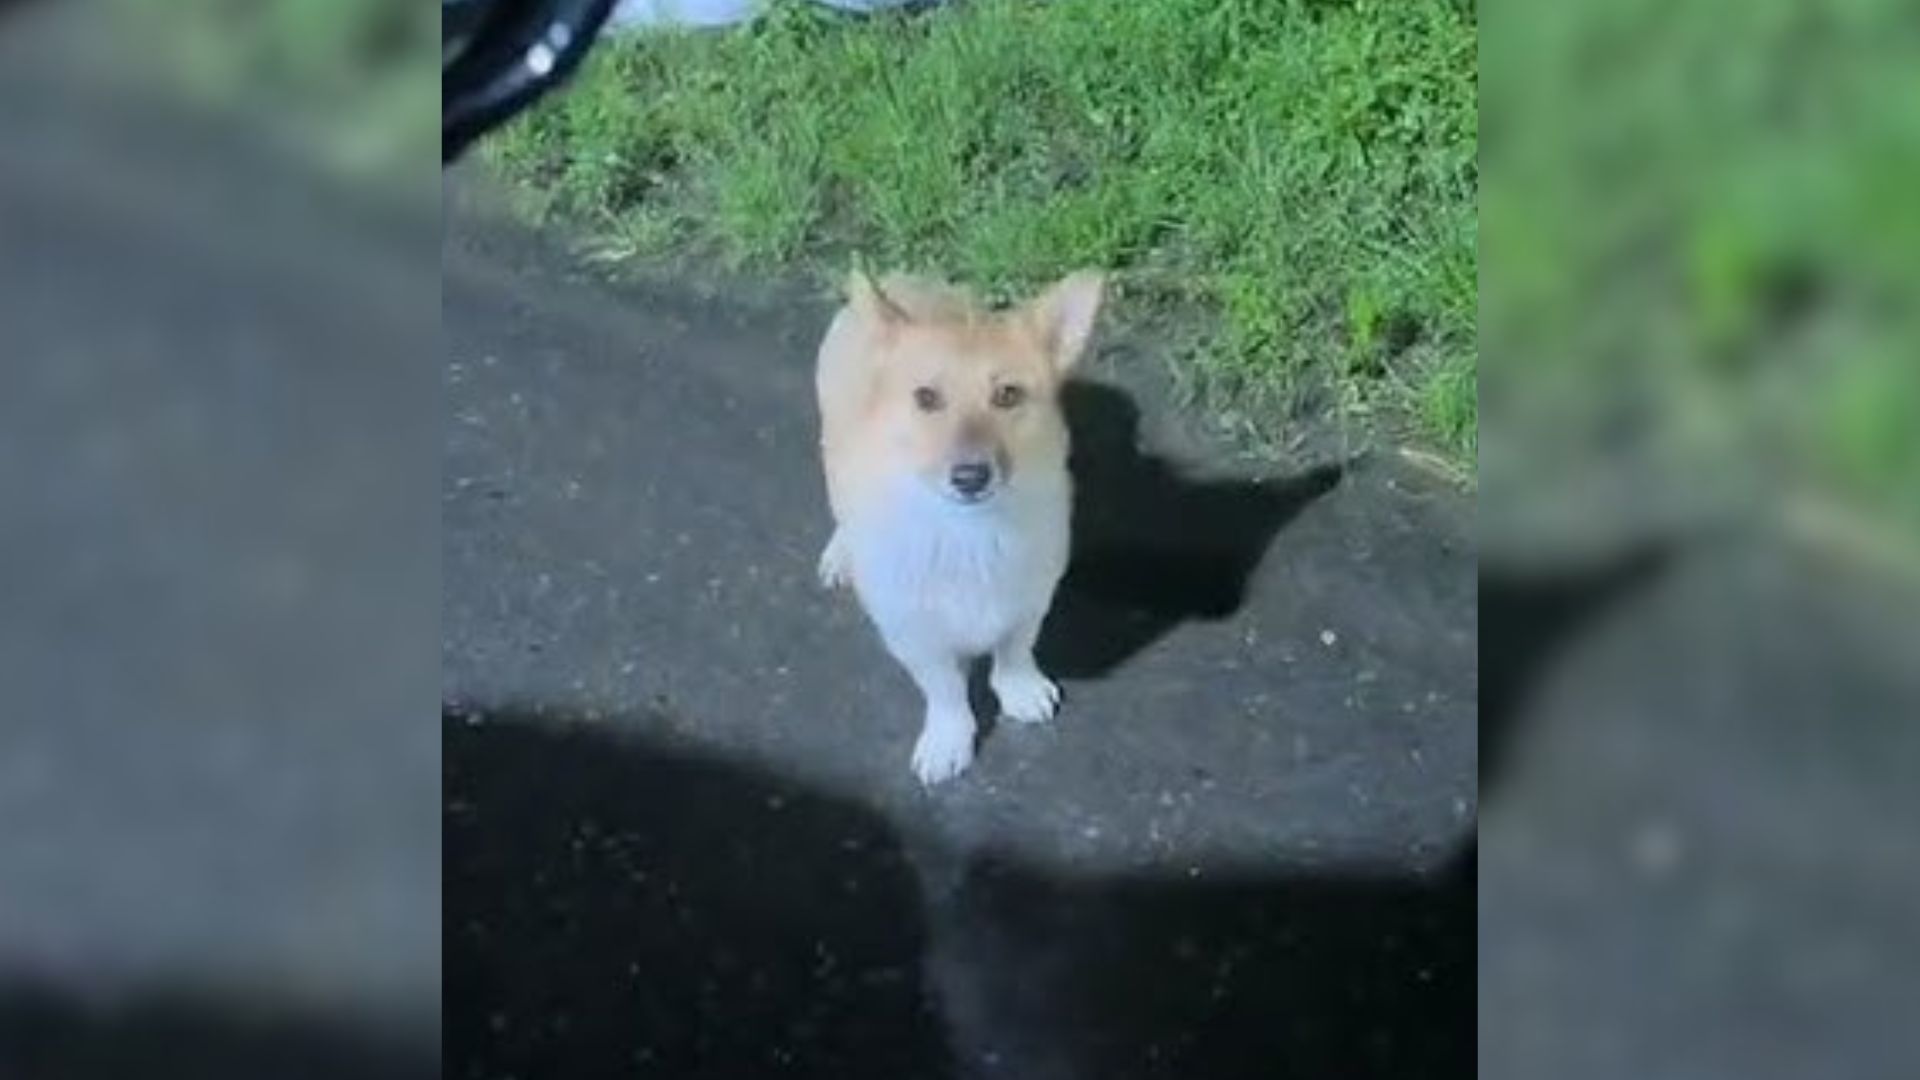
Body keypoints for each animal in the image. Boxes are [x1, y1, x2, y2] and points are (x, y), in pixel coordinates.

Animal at [814, 269, 1113, 780]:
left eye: (1008, 395)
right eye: (926, 398)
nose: (971, 477)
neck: (968, 533)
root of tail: (901, 276)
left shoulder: (1029, 602)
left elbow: (1014, 651)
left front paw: (1020, 691)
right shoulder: (914, 635)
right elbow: (945, 690)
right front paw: (948, 740)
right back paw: (840, 554)